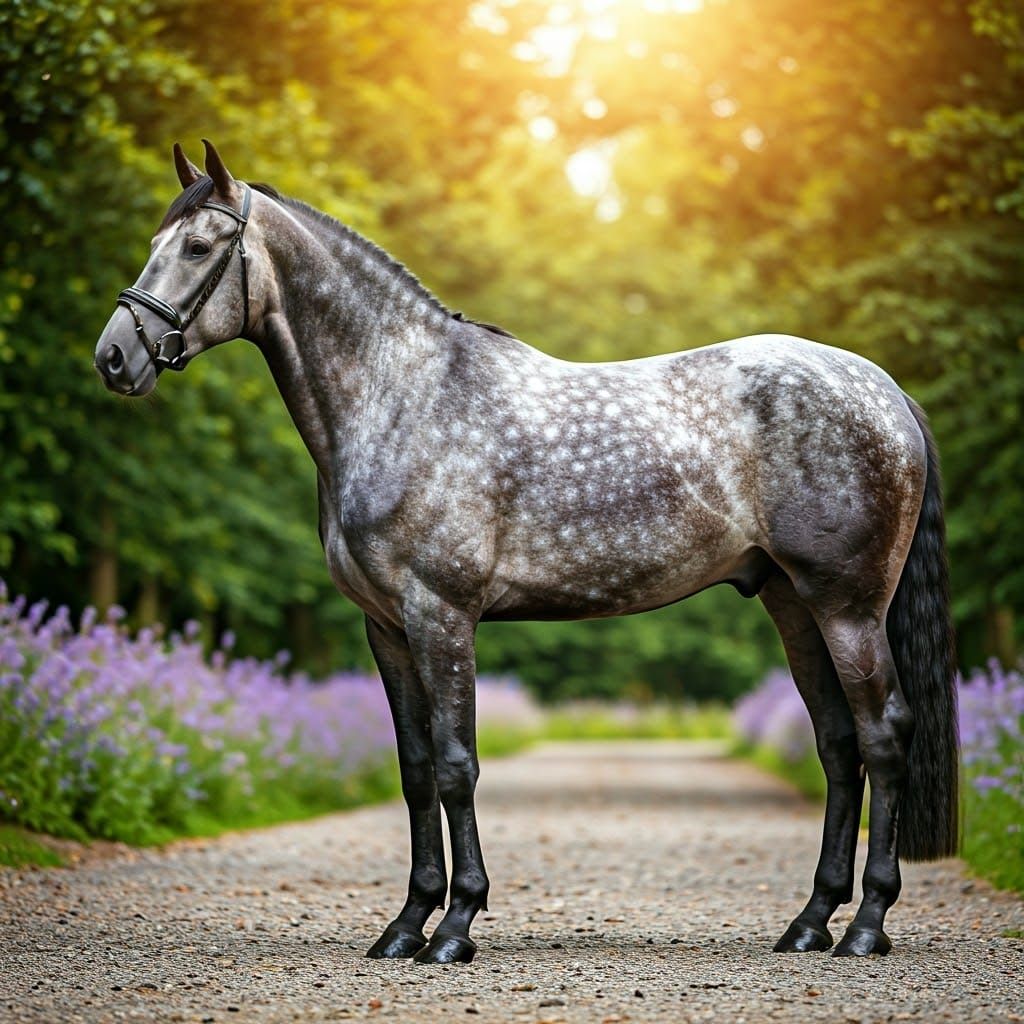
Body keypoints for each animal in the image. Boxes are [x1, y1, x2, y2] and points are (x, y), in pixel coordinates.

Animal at [94, 141, 958, 965]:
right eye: (156, 242)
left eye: (199, 246)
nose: (114, 357)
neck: (402, 397)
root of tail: (884, 390)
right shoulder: (386, 627)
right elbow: (415, 772)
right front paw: (405, 926)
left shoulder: (442, 615)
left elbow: (456, 765)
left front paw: (455, 927)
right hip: (792, 603)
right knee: (838, 744)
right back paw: (810, 922)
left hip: (847, 607)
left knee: (883, 734)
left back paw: (866, 925)